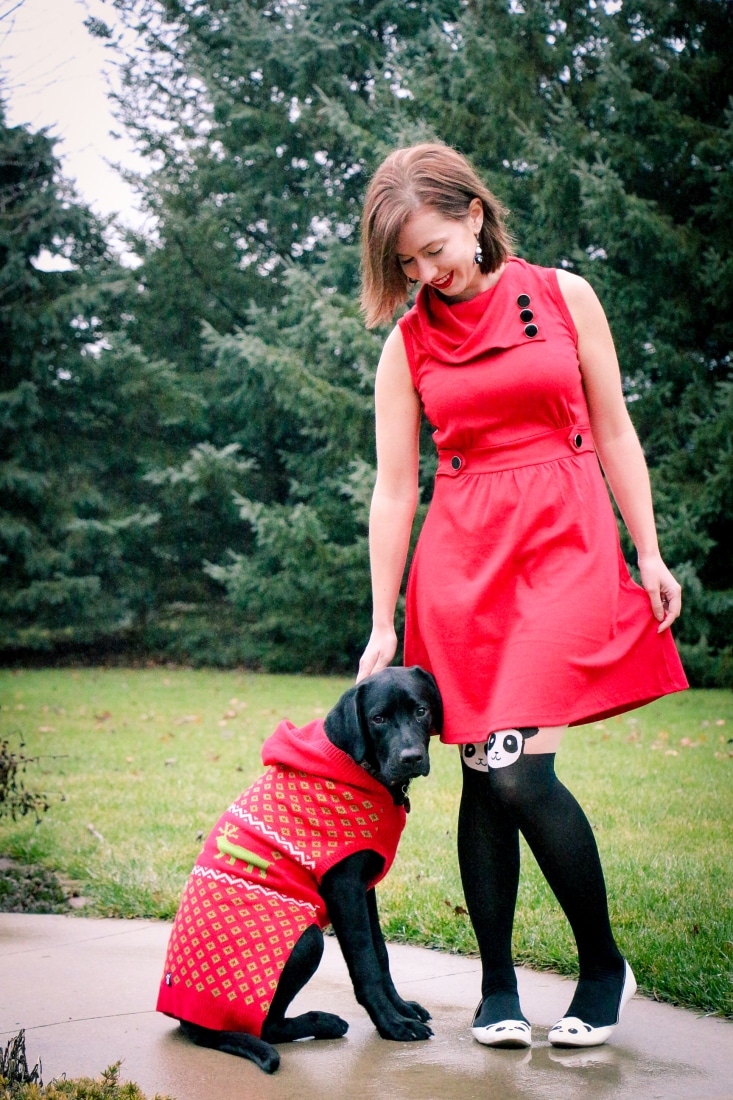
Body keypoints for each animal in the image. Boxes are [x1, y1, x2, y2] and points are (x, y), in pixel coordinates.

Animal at [155, 664, 440, 1069]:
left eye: (420, 711)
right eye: (378, 719)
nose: (411, 757)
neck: (360, 768)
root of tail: (191, 1023)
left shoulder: (364, 887)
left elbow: (381, 954)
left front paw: (402, 1008)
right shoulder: (343, 888)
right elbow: (366, 962)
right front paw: (391, 1024)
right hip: (308, 940)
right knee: (267, 1026)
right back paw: (322, 1022)